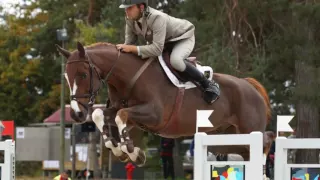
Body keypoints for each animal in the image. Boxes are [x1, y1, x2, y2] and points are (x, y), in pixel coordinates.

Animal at [55, 41, 276, 167]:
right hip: (226, 136)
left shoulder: (154, 115)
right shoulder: (131, 114)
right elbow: (100, 115)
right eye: (66, 77)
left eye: (83, 75)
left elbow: (121, 116)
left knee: (266, 140)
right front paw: (124, 151)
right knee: (246, 150)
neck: (126, 78)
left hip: (249, 129)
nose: (75, 114)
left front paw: (131, 151)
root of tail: (250, 85)